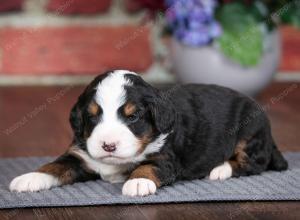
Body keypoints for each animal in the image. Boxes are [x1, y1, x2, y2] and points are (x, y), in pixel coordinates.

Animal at [9, 69, 288, 196]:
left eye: (132, 117)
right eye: (93, 116)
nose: (108, 145)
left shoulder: (166, 157)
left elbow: (148, 165)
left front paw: (138, 181)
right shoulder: (80, 155)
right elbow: (55, 165)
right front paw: (30, 177)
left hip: (250, 132)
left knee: (253, 163)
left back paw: (219, 169)